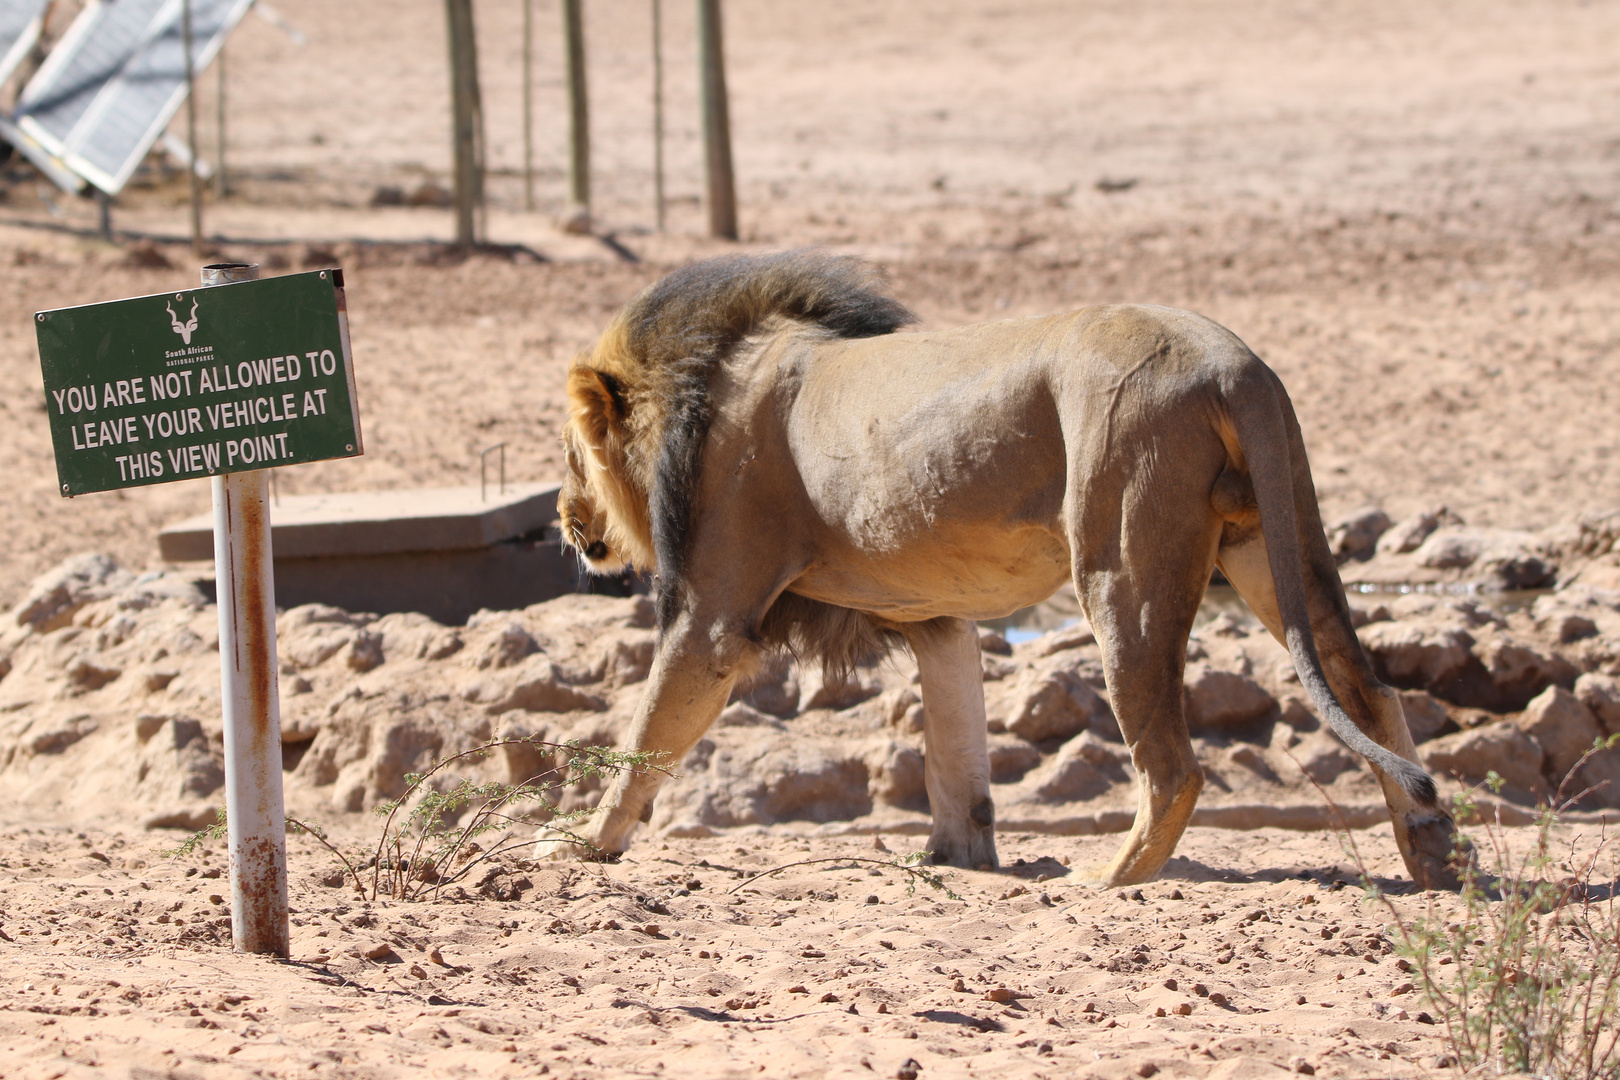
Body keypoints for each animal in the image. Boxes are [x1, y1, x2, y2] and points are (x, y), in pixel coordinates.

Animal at [547, 249, 1470, 893]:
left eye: (569, 453)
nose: (561, 516)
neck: (697, 388)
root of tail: (1228, 357)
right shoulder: (931, 619)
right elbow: (957, 750)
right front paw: (960, 856)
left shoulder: (712, 613)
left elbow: (644, 736)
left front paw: (579, 842)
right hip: (1275, 547)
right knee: (1370, 689)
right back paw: (1430, 849)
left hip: (1122, 562)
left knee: (1173, 765)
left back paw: (1111, 879)